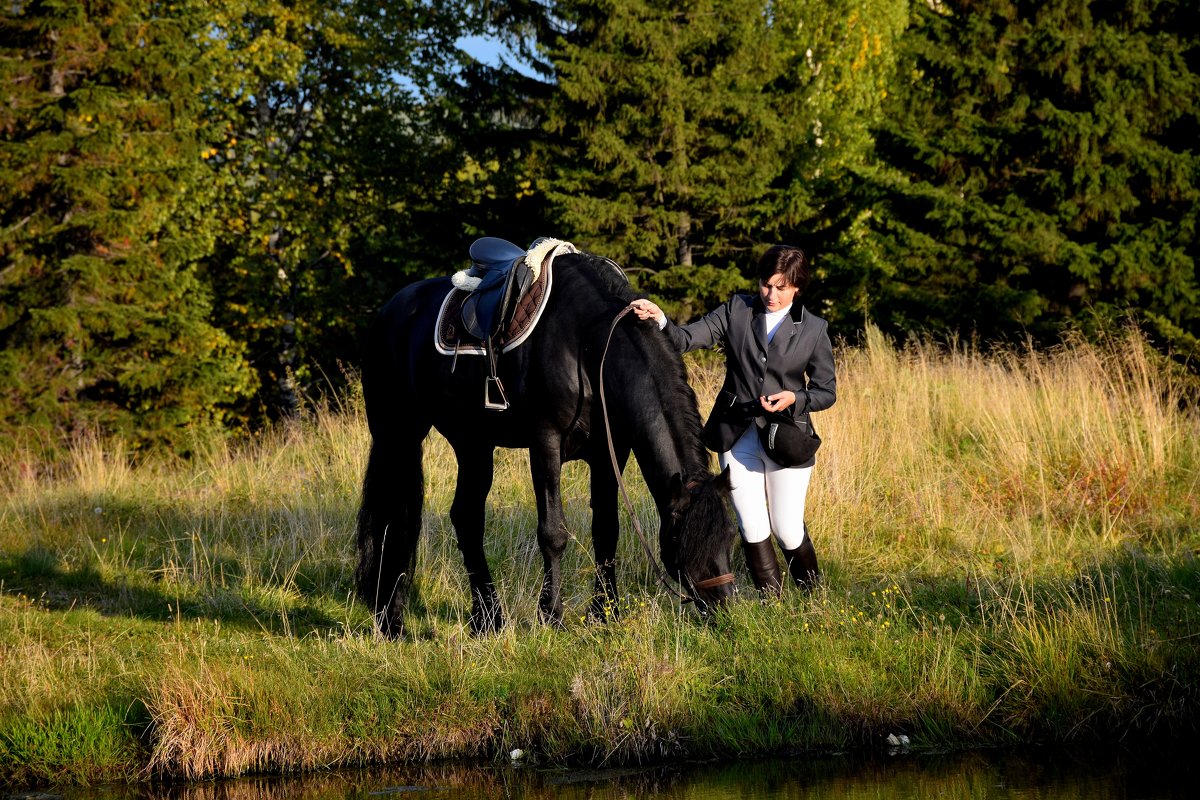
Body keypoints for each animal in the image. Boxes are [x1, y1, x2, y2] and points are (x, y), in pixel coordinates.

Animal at [350, 244, 734, 638]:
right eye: (689, 541)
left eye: (731, 535)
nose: (725, 606)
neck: (587, 343)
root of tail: (390, 311)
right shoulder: (545, 443)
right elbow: (553, 533)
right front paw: (551, 615)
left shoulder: (608, 453)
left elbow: (606, 530)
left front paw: (605, 613)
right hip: (398, 434)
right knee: (393, 519)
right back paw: (392, 620)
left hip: (472, 443)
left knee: (466, 518)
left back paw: (488, 619)